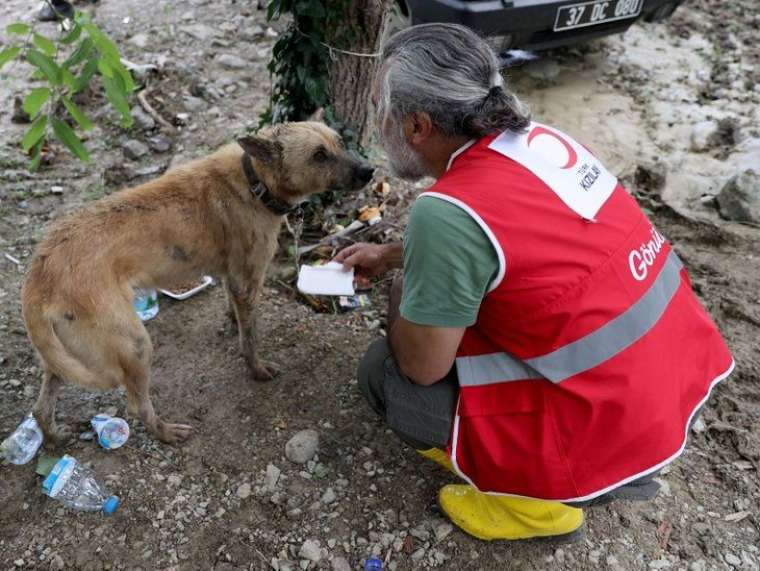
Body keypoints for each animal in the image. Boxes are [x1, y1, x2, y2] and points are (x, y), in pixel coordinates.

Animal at [25, 122, 376, 446]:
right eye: (319, 155)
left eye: (340, 142)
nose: (370, 170)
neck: (254, 180)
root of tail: (39, 273)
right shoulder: (248, 283)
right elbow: (251, 339)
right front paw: (256, 369)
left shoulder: (232, 279)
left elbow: (234, 313)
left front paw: (232, 325)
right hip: (135, 345)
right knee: (137, 406)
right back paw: (166, 432)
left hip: (64, 358)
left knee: (41, 407)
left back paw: (53, 435)